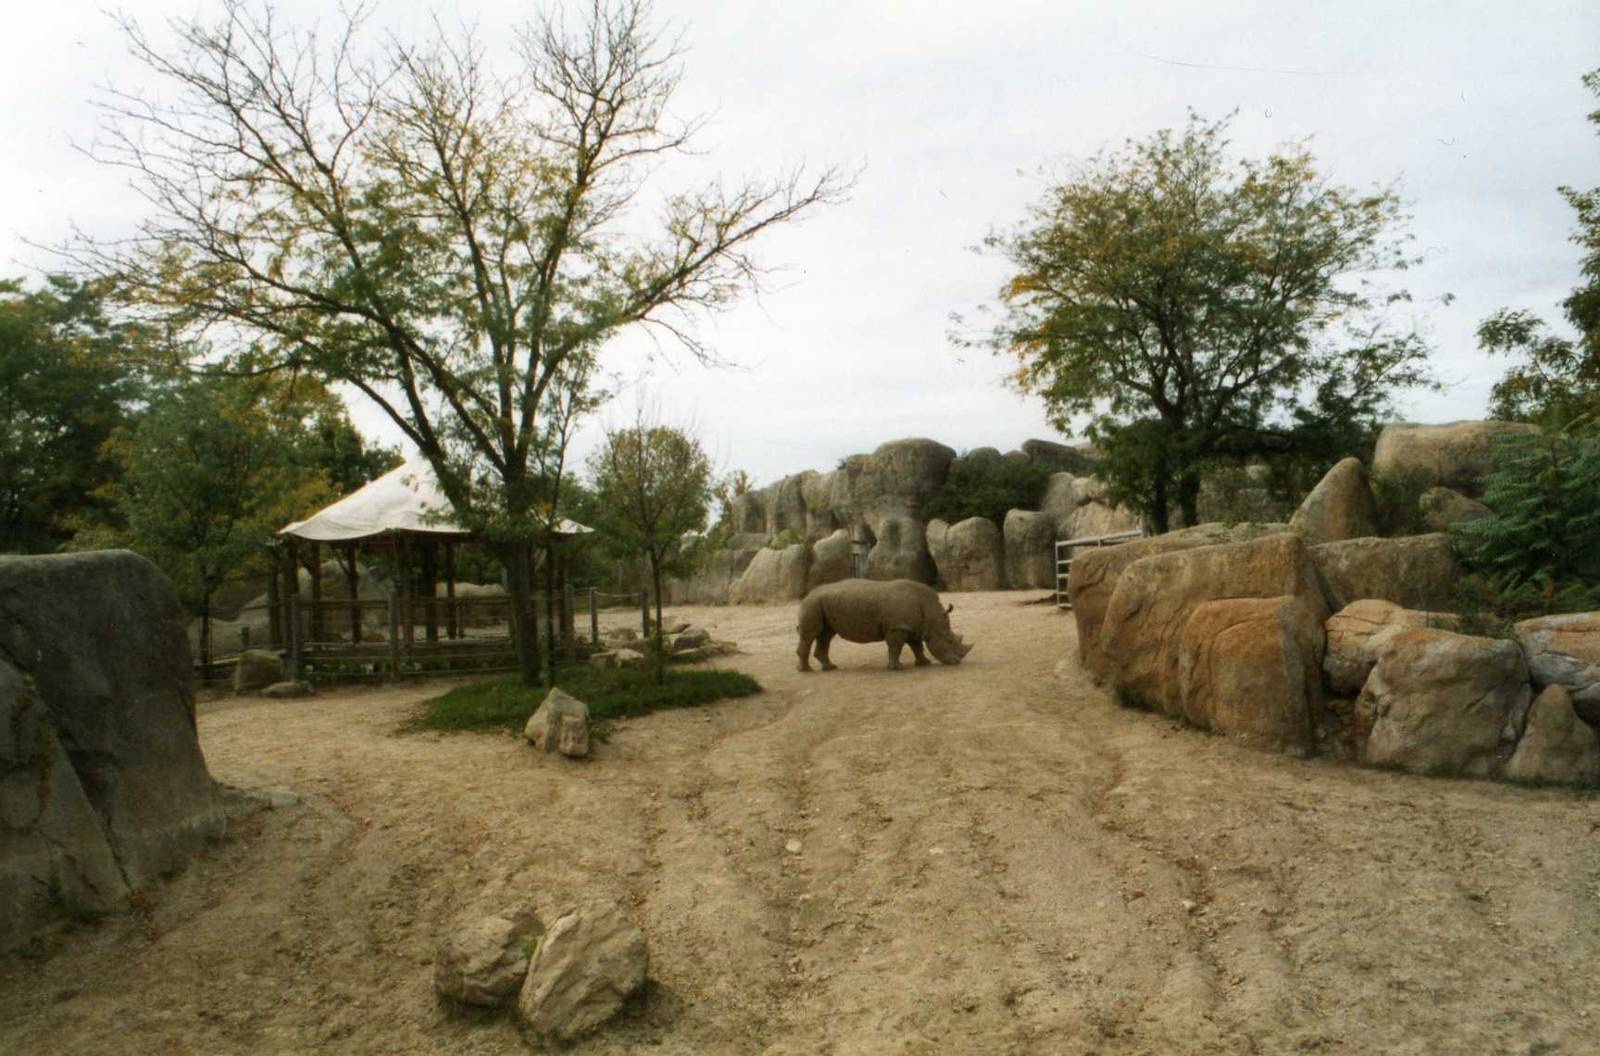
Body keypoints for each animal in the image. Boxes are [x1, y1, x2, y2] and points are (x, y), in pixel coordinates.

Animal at [796, 578, 973, 672]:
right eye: (949, 641)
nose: (957, 662)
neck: (931, 612)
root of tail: (807, 595)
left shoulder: (911, 627)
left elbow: (917, 646)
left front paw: (924, 663)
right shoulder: (897, 627)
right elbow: (896, 647)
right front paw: (897, 668)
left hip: (821, 605)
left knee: (826, 635)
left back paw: (830, 667)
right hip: (812, 604)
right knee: (811, 635)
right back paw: (806, 670)